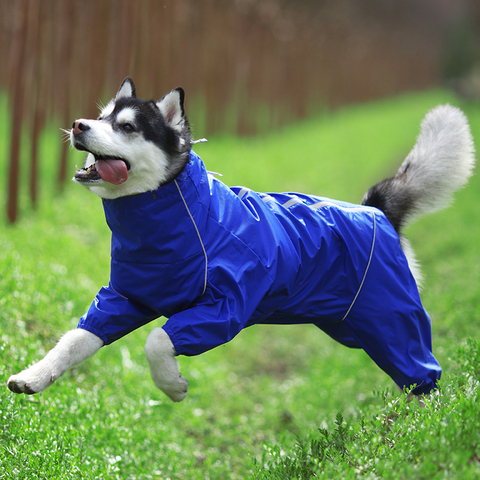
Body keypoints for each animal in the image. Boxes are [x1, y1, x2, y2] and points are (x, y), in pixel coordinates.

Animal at [8, 78, 476, 402]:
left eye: (126, 126)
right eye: (102, 116)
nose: (78, 124)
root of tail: (376, 209)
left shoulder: (226, 306)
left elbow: (157, 339)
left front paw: (172, 386)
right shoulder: (126, 298)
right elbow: (76, 339)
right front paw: (34, 375)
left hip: (390, 319)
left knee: (420, 371)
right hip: (352, 323)